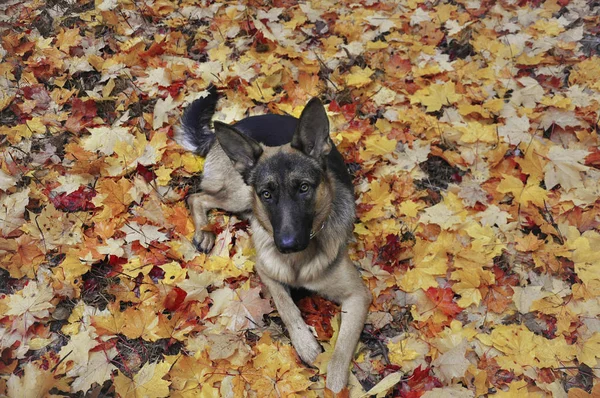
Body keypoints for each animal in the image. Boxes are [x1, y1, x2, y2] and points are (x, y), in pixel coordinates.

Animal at [173, 87, 370, 392]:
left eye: (304, 188)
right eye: (267, 194)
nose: (287, 245)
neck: (298, 262)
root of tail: (239, 124)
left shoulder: (358, 297)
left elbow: (340, 356)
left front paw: (335, 384)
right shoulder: (266, 271)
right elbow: (286, 305)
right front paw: (305, 344)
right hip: (240, 194)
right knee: (197, 197)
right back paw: (204, 231)